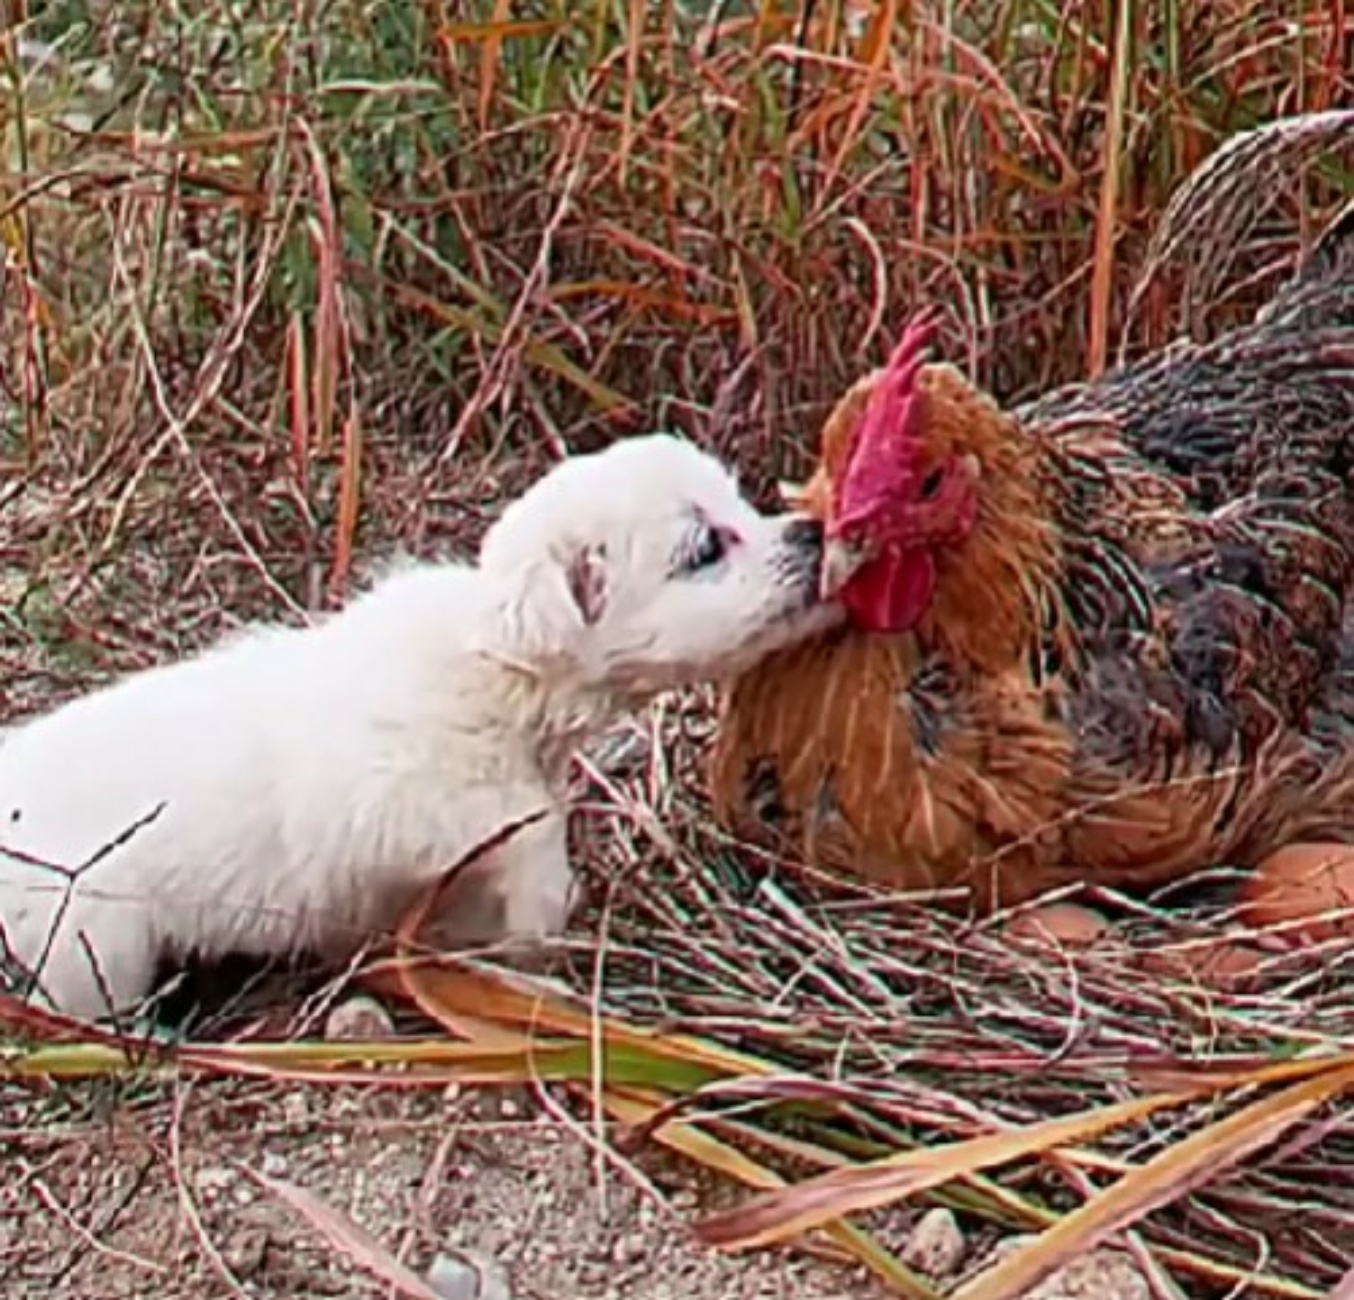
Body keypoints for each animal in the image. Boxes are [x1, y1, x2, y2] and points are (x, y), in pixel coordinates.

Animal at [0, 436, 834, 1023]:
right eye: (705, 550)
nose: (813, 533)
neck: (495, 666)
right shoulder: (421, 806)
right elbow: (530, 846)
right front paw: (540, 936)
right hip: (92, 940)